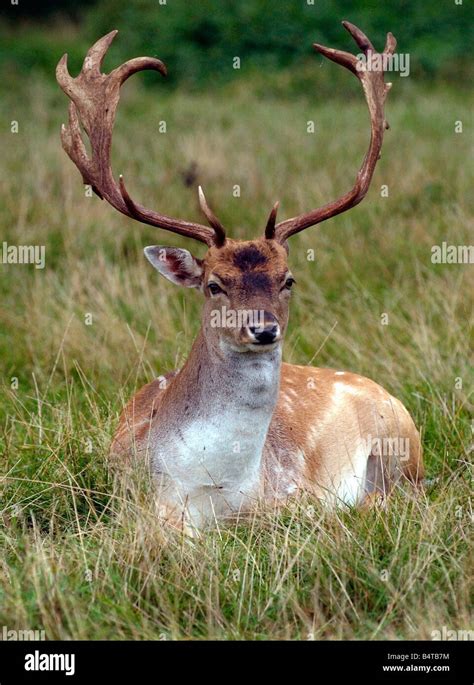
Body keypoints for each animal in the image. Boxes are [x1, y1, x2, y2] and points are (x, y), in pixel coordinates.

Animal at [57, 21, 424, 532]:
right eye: (214, 285)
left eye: (288, 280)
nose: (263, 328)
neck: (215, 489)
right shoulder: (134, 503)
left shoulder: (292, 494)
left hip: (404, 441)